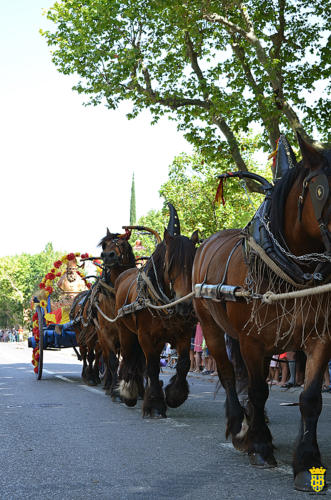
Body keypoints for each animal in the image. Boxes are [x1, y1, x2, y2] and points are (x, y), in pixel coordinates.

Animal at [115, 207, 198, 414]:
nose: (185, 305)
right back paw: (128, 391)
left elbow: (184, 364)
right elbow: (151, 366)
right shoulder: (145, 335)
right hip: (125, 331)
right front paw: (154, 403)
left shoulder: (184, 334)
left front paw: (175, 395)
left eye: (193, 262)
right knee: (128, 357)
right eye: (170, 265)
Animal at [193, 137, 331, 492]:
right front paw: (259, 445)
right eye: (322, 190)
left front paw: (307, 462)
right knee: (228, 375)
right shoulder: (252, 341)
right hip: (211, 328)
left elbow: (310, 398)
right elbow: (257, 390)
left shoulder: (320, 337)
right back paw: (238, 425)